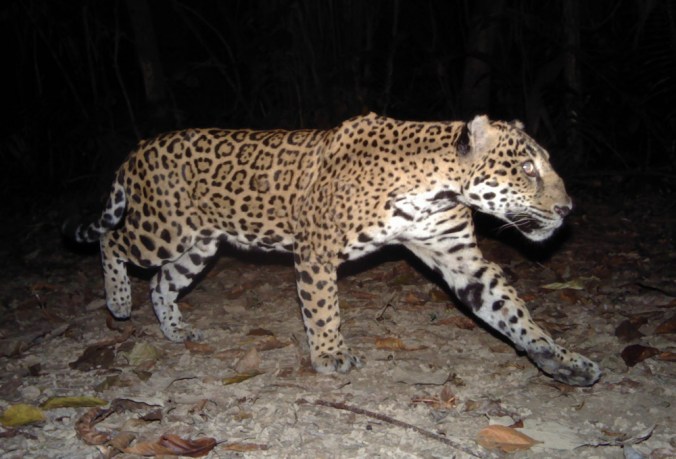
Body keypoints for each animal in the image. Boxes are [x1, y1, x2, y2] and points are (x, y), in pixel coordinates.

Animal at [67, 112, 601, 386]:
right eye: (527, 169)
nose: (568, 209)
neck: (437, 185)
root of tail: (140, 146)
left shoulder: (462, 260)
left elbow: (512, 312)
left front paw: (561, 358)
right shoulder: (316, 250)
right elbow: (324, 310)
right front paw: (330, 356)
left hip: (200, 244)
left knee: (162, 281)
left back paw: (176, 330)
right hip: (163, 229)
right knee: (114, 241)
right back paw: (118, 301)